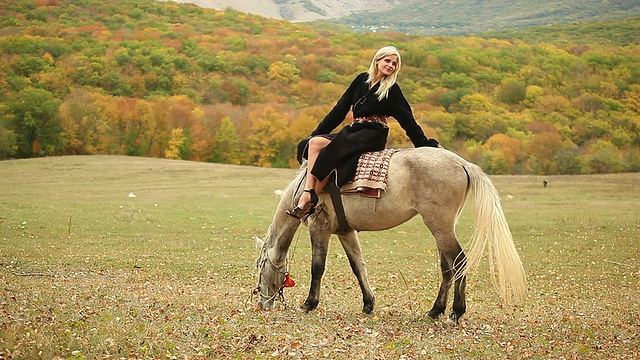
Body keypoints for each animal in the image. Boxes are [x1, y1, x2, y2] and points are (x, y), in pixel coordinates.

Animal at [252, 146, 528, 324]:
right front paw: (368, 304)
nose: (263, 304)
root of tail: (462, 163)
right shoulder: (345, 231)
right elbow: (358, 266)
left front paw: (309, 304)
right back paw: (435, 310)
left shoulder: (319, 228)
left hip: (439, 226)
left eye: (260, 266)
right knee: (447, 267)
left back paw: (456, 313)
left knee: (459, 262)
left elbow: (317, 267)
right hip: (443, 228)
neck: (306, 189)